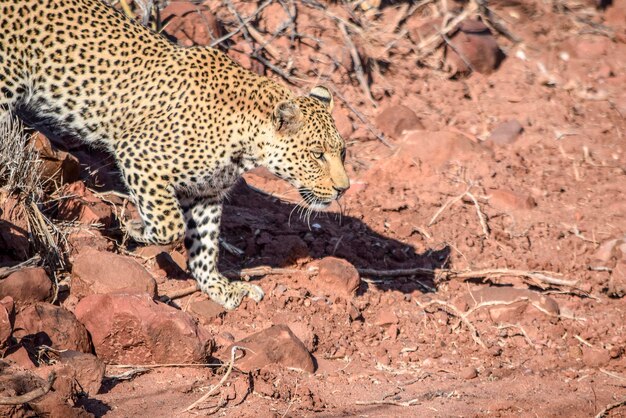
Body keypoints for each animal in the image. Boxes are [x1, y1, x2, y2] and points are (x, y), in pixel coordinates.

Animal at [0, 0, 348, 308]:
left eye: (342, 152)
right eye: (317, 154)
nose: (343, 189)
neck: (246, 142)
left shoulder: (206, 193)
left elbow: (204, 244)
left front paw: (219, 287)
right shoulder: (139, 154)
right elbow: (171, 225)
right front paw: (136, 229)